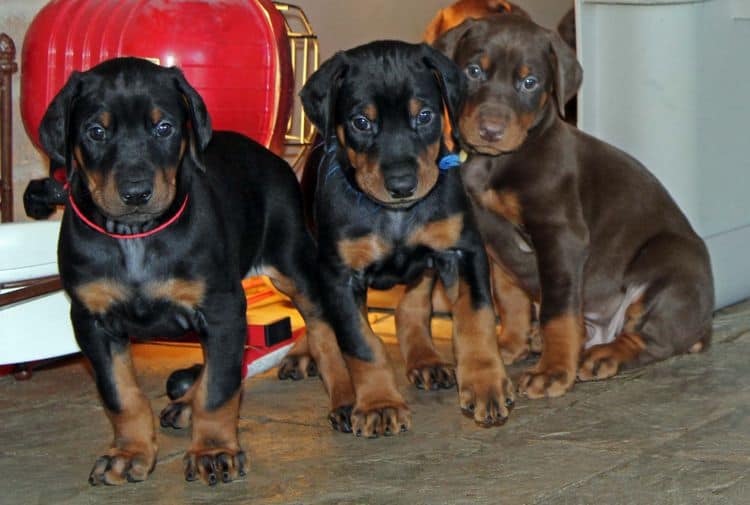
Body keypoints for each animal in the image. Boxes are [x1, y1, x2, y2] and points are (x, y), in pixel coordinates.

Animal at [42, 58, 354, 484]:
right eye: (96, 131)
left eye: (163, 127)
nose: (136, 193)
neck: (136, 236)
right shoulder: (92, 320)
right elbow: (120, 394)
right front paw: (130, 452)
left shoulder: (222, 307)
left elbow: (221, 388)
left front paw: (214, 450)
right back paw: (186, 402)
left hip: (294, 264)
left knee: (323, 333)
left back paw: (345, 398)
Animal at [300, 41, 516, 436]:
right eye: (361, 121)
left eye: (426, 115)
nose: (402, 185)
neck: (395, 215)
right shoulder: (339, 276)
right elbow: (360, 343)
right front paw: (379, 404)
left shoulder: (464, 250)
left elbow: (475, 318)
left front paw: (484, 384)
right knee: (323, 335)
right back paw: (341, 396)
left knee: (411, 304)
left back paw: (425, 360)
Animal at [434, 15, 716, 398]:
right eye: (474, 70)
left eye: (530, 82)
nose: (491, 130)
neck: (495, 163)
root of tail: (704, 326)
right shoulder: (492, 239)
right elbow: (510, 298)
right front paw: (508, 344)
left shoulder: (559, 236)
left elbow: (557, 311)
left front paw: (552, 371)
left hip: (671, 263)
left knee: (649, 339)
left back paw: (603, 356)